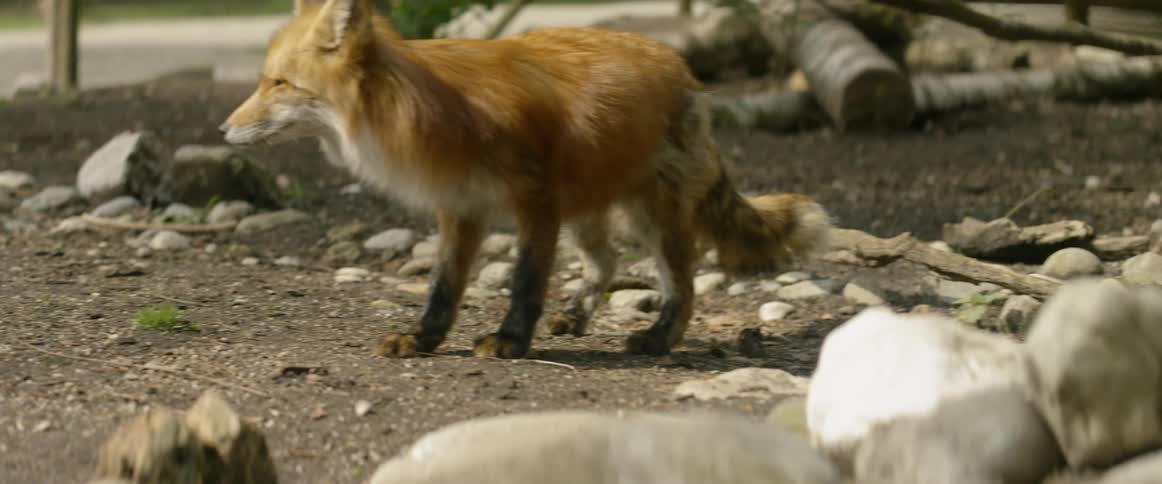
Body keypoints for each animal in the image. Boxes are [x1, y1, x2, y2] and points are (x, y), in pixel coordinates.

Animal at [220, 0, 832, 359]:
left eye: (278, 84)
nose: (224, 130)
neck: (428, 111)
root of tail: (687, 72)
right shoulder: (460, 206)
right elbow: (444, 286)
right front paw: (424, 338)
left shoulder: (536, 201)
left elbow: (526, 282)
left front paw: (511, 339)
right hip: (588, 207)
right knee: (605, 262)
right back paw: (578, 315)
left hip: (650, 216)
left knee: (681, 285)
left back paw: (658, 338)